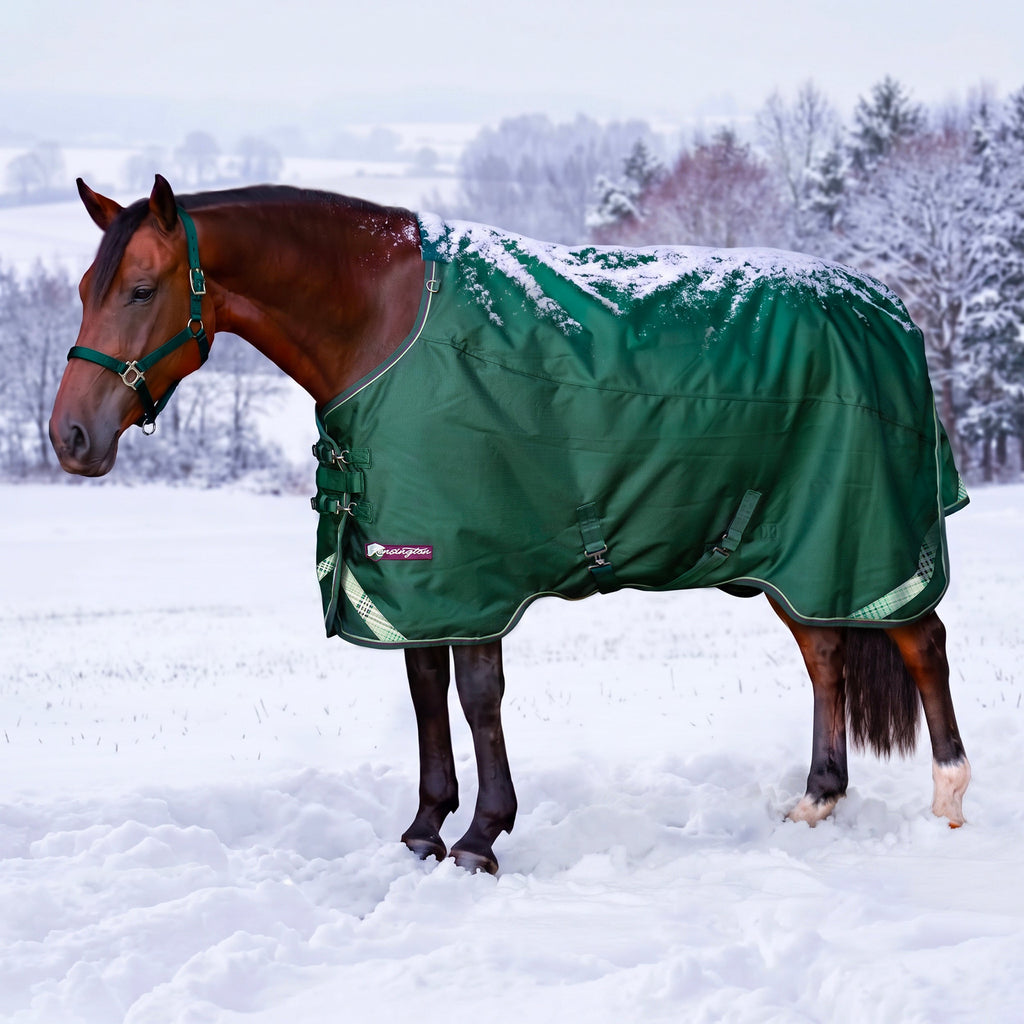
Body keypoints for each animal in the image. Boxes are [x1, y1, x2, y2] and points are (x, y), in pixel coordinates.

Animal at [49, 175, 970, 874]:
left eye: (140, 290)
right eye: (85, 291)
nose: (70, 437)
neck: (384, 324)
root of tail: (886, 309)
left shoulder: (474, 566)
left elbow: (478, 697)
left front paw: (482, 837)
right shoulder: (412, 573)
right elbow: (426, 695)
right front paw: (425, 829)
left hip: (870, 538)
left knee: (921, 641)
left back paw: (950, 801)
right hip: (796, 551)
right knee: (826, 653)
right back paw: (817, 799)